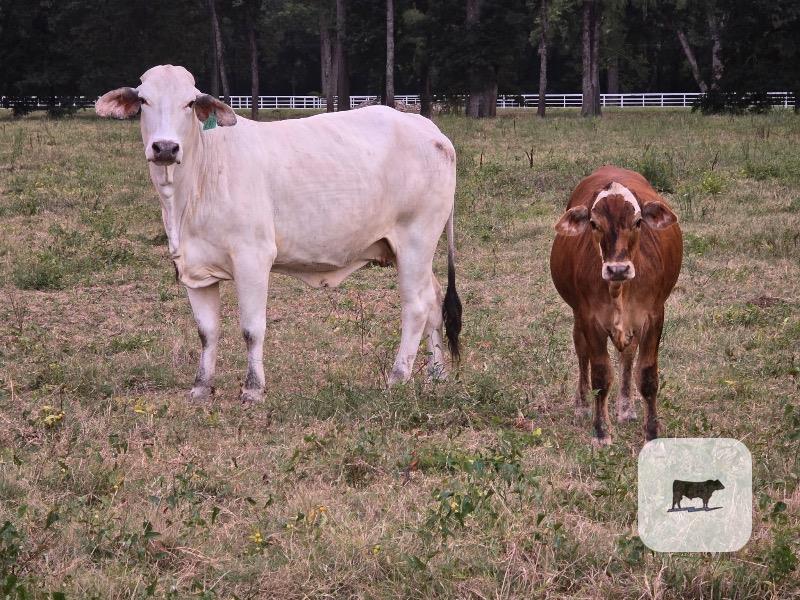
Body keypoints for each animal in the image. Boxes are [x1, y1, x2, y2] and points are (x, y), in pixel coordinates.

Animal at [95, 65, 462, 404]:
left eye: (189, 103)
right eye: (144, 100)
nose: (165, 147)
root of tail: (430, 129)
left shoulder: (252, 258)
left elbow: (252, 328)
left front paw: (253, 389)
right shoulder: (193, 268)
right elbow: (207, 331)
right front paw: (201, 387)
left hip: (416, 239)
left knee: (416, 305)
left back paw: (398, 377)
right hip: (412, 249)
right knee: (433, 298)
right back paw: (436, 373)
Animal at [549, 166, 682, 446]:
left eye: (638, 221)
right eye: (593, 224)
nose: (617, 269)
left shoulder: (654, 317)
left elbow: (647, 376)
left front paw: (651, 432)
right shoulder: (590, 319)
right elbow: (600, 375)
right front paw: (601, 432)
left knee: (628, 356)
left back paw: (626, 407)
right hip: (578, 317)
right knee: (582, 353)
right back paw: (582, 405)